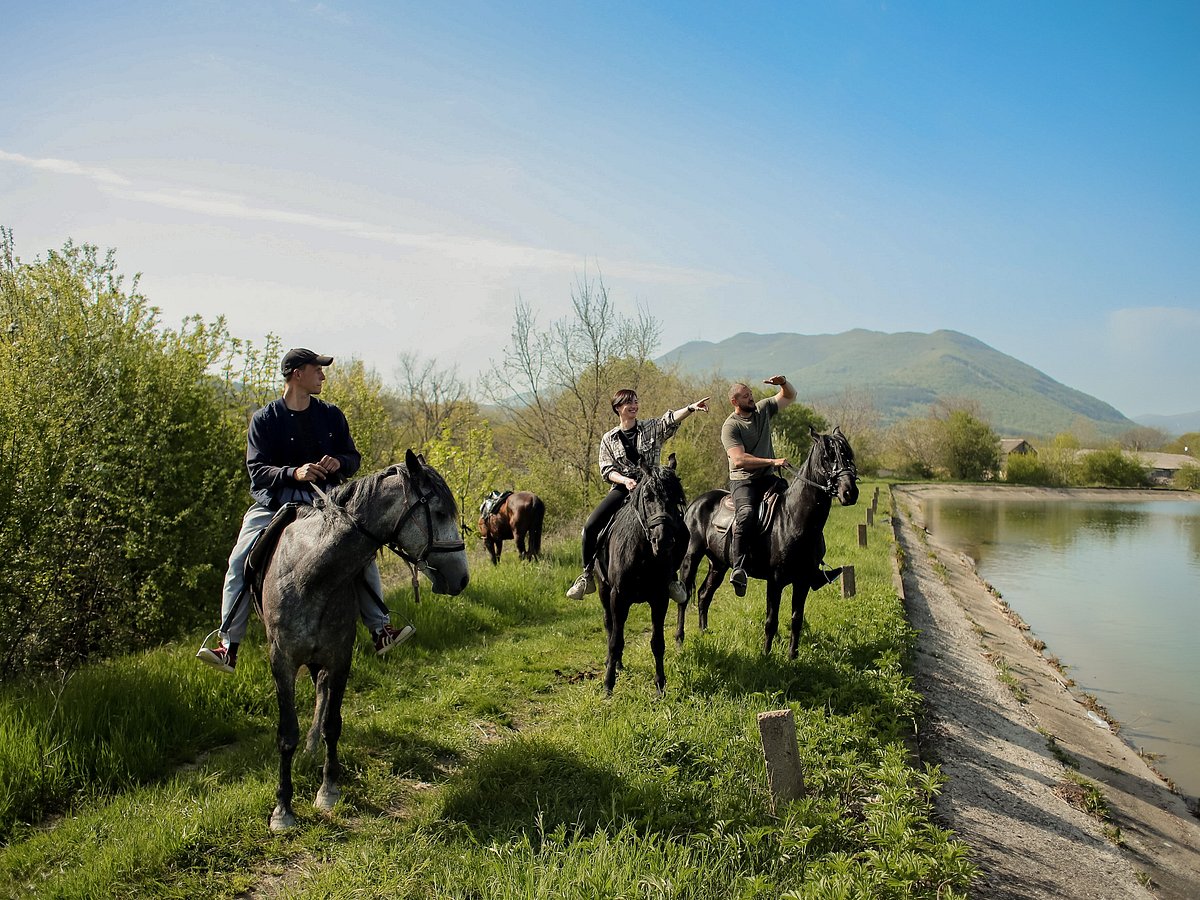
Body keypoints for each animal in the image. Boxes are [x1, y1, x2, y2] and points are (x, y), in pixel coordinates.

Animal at [260, 453, 470, 835]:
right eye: (439, 513)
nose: (461, 578)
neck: (311, 576)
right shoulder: (281, 661)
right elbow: (286, 734)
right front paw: (283, 808)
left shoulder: (340, 657)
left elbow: (333, 723)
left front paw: (328, 789)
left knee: (321, 692)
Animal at [590, 458, 686, 696]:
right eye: (648, 496)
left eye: (676, 498)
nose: (663, 540)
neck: (643, 553)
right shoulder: (617, 596)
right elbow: (615, 641)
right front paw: (608, 686)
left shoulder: (660, 598)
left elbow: (657, 642)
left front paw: (660, 685)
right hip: (604, 589)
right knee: (611, 626)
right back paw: (613, 664)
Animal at [681, 427, 859, 657]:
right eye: (827, 457)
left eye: (848, 455)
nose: (850, 492)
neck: (794, 519)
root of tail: (695, 503)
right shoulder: (775, 580)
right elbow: (771, 621)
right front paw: (766, 656)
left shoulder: (803, 580)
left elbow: (796, 620)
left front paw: (792, 656)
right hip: (691, 558)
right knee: (685, 597)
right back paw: (679, 639)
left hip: (718, 564)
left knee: (704, 595)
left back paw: (704, 633)